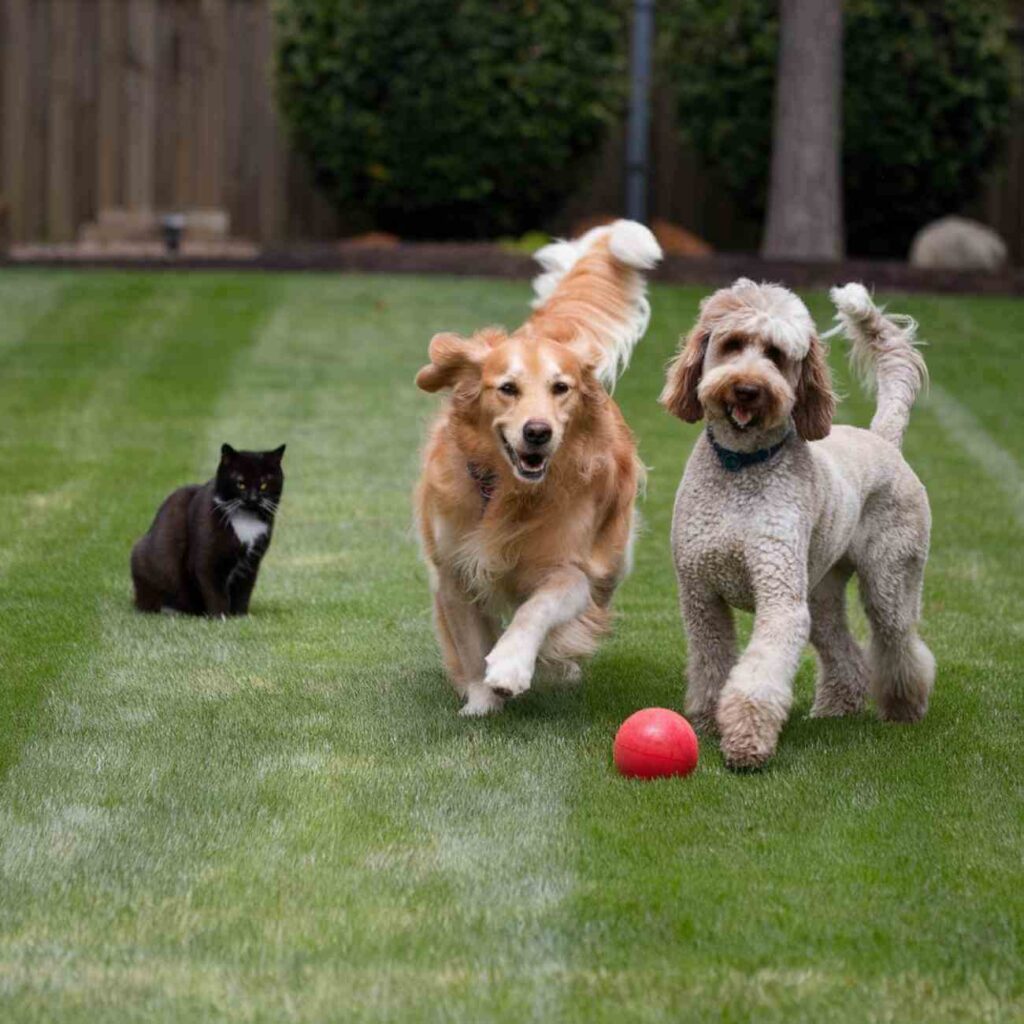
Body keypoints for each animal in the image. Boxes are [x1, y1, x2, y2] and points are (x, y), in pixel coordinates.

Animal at [132, 442, 286, 614]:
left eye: (264, 485)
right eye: (240, 483)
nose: (252, 498)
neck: (246, 520)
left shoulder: (251, 563)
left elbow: (243, 592)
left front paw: (240, 615)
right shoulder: (206, 560)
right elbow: (215, 592)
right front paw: (221, 616)